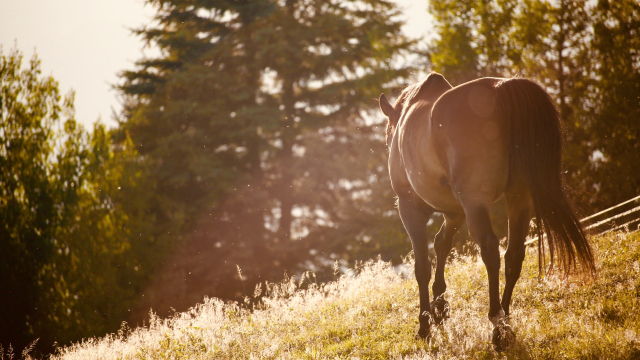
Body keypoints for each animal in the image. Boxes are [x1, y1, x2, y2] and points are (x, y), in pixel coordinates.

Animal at [380, 73, 596, 352]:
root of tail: (501, 88)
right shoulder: (455, 212)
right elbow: (442, 244)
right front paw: (440, 309)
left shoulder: (411, 208)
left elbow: (422, 267)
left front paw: (425, 324)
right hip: (519, 198)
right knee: (514, 254)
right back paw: (505, 317)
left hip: (476, 202)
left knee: (491, 250)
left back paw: (497, 325)